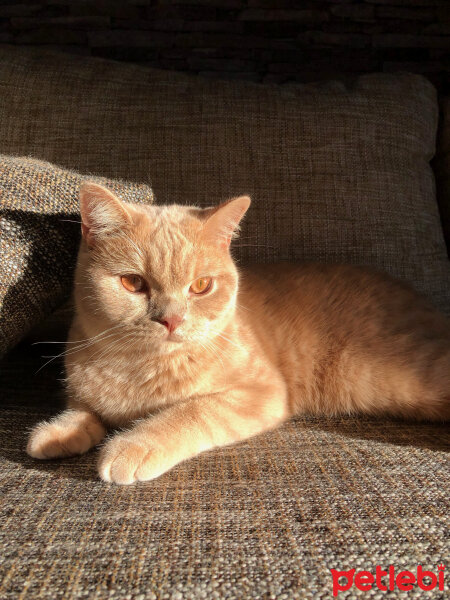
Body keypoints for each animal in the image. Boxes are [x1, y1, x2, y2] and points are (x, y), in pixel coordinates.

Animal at [26, 182, 450, 482]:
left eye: (200, 286)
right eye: (133, 283)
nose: (171, 320)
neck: (138, 368)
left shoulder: (260, 392)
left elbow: (192, 411)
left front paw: (133, 444)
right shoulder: (84, 389)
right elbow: (83, 410)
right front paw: (58, 432)